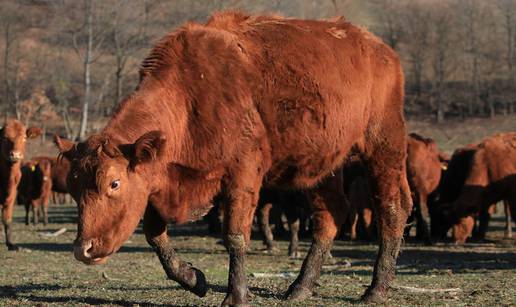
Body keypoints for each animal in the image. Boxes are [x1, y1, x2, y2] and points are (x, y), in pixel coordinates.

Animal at [0, 119, 41, 251]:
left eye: (24, 138)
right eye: (4, 138)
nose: (15, 155)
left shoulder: (13, 195)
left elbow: (7, 219)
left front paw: (10, 244)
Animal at [54, 12, 414, 306]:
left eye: (114, 183)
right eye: (73, 187)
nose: (83, 249)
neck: (189, 97)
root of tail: (380, 50)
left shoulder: (242, 175)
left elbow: (235, 235)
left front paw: (236, 294)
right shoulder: (160, 183)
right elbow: (155, 235)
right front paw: (192, 278)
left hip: (384, 147)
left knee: (392, 209)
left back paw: (376, 289)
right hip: (321, 168)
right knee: (330, 215)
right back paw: (300, 286)